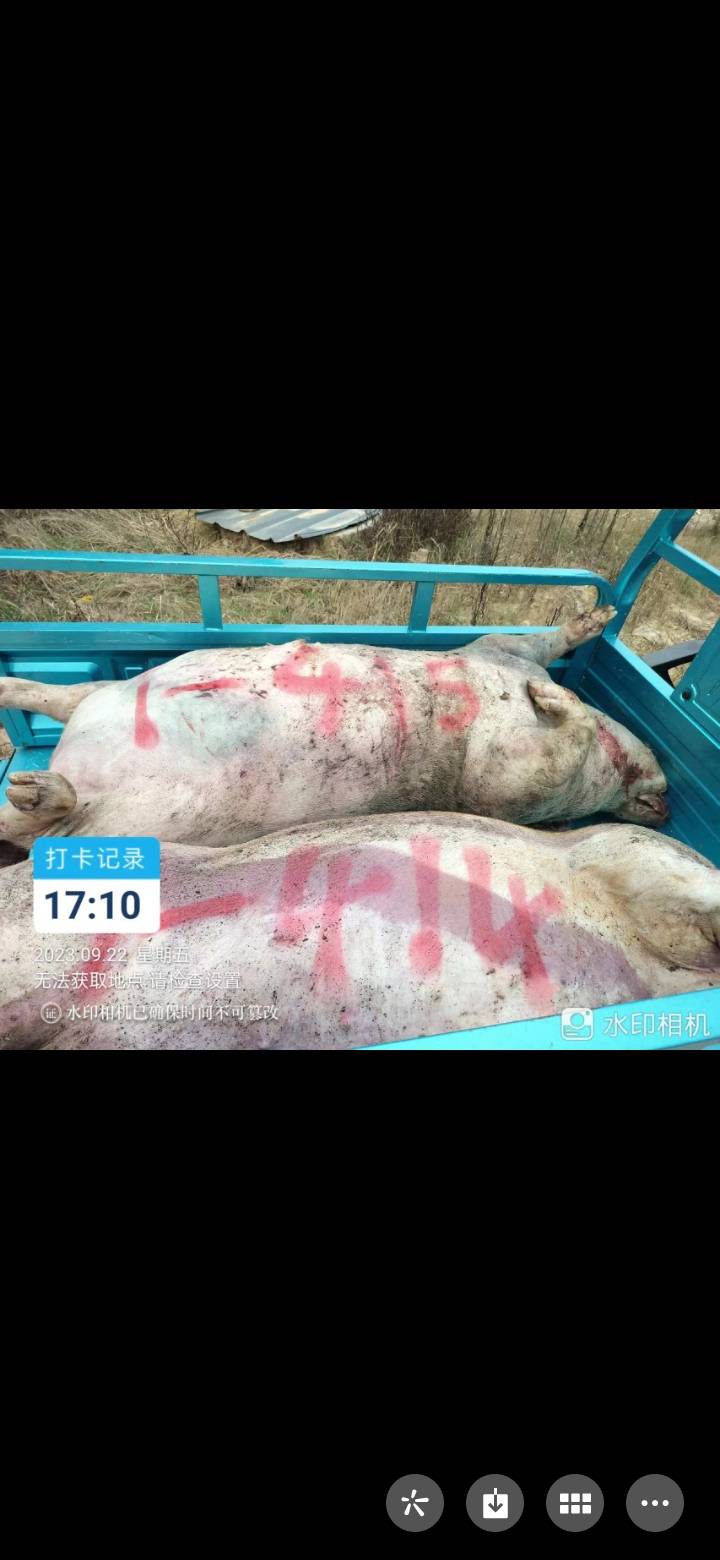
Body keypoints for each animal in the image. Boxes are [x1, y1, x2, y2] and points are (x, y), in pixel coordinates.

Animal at [0, 606, 669, 855]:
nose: (668, 803)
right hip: (109, 707)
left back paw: (33, 789)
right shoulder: (499, 653)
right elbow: (542, 643)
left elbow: (546, 759)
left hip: (126, 815)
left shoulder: (505, 792)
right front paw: (596, 621)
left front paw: (551, 696)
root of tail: (71, 753)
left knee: (39, 820)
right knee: (54, 702)